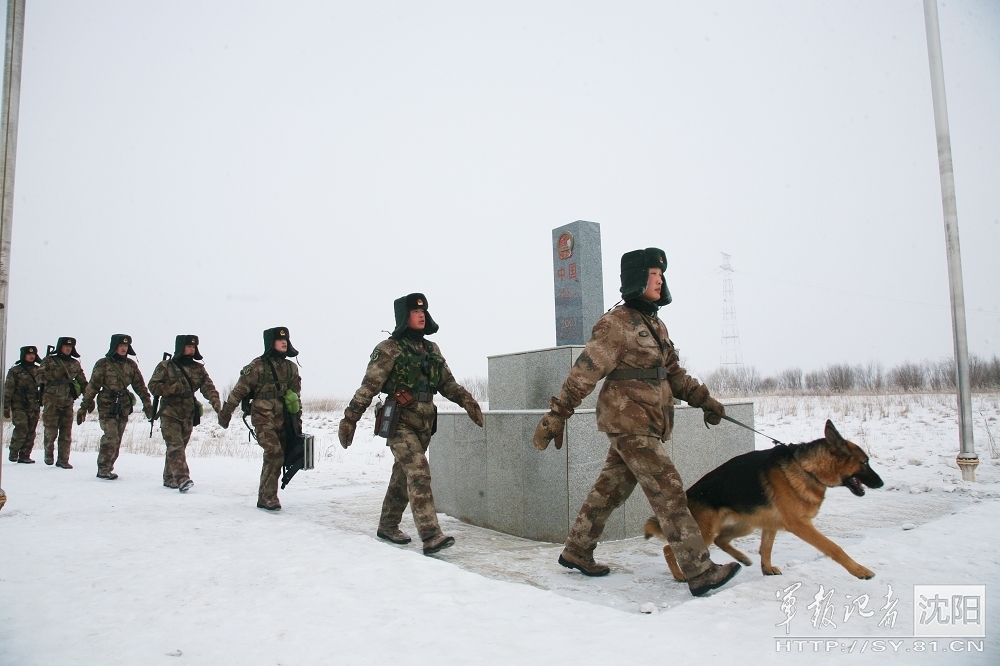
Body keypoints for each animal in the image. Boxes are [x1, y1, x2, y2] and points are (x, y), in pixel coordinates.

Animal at [640, 422, 884, 580]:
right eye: (864, 462)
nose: (881, 483)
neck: (806, 468)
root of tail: (687, 495)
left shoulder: (771, 525)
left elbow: (766, 548)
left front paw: (766, 569)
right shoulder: (800, 525)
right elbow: (834, 548)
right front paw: (860, 571)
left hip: (744, 526)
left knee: (720, 539)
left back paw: (742, 558)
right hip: (704, 533)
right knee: (669, 549)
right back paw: (680, 575)